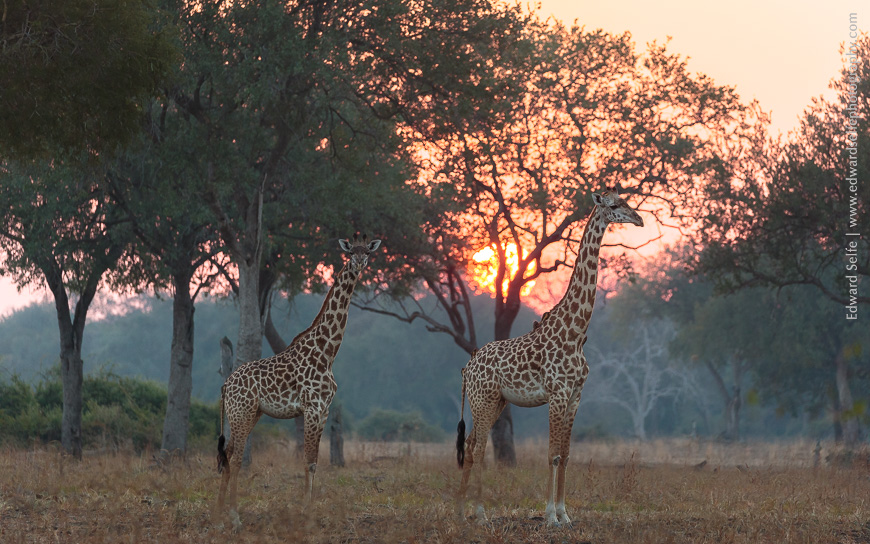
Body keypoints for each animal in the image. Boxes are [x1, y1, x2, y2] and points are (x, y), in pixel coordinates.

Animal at [216, 234, 381, 529]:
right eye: (350, 251)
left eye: (368, 252)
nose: (360, 263)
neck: (328, 352)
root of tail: (226, 386)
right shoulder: (312, 408)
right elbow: (308, 461)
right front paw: (306, 513)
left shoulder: (325, 410)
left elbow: (314, 460)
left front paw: (310, 510)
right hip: (242, 413)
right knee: (235, 458)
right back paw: (234, 517)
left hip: (249, 414)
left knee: (227, 454)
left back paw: (221, 513)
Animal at [455, 190, 643, 526]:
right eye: (613, 205)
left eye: (625, 200)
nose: (639, 219)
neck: (576, 332)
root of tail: (468, 366)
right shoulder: (557, 393)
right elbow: (552, 454)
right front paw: (549, 516)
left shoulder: (576, 395)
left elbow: (566, 455)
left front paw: (565, 515)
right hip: (483, 401)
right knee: (479, 448)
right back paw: (480, 513)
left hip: (495, 402)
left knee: (471, 444)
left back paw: (462, 511)